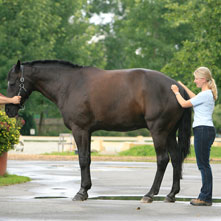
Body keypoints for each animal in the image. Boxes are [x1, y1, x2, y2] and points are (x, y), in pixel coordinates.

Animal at [5, 59, 192, 203]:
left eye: (12, 83)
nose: (8, 110)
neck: (69, 84)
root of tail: (177, 87)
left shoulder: (79, 129)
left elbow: (82, 159)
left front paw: (81, 192)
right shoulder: (87, 131)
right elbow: (87, 158)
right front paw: (86, 190)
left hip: (158, 131)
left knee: (162, 159)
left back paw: (150, 194)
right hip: (169, 133)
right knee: (176, 159)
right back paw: (171, 195)